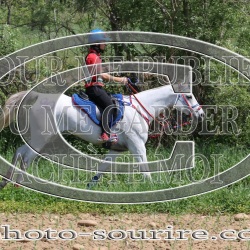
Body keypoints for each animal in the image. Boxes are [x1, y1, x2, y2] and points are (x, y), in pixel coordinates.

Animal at [0, 85, 204, 188]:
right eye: (189, 96)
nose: (201, 114)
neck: (139, 110)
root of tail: (37, 97)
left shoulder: (116, 149)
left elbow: (102, 168)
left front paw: (89, 187)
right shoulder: (137, 145)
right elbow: (145, 168)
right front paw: (153, 188)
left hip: (37, 138)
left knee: (19, 152)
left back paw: (6, 182)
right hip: (41, 139)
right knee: (26, 157)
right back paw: (20, 185)